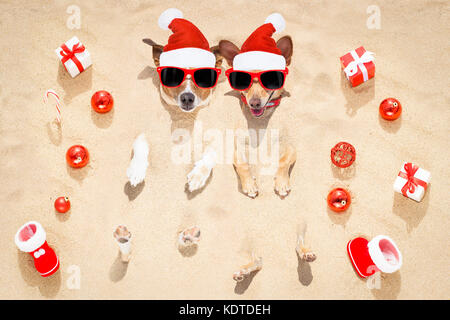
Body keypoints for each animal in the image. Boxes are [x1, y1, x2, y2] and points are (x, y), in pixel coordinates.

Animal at [219, 13, 298, 199]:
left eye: (271, 79)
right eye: (242, 81)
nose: (254, 103)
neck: (261, 122)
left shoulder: (291, 148)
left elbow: (283, 160)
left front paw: (281, 182)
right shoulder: (237, 150)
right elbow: (243, 165)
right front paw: (249, 185)